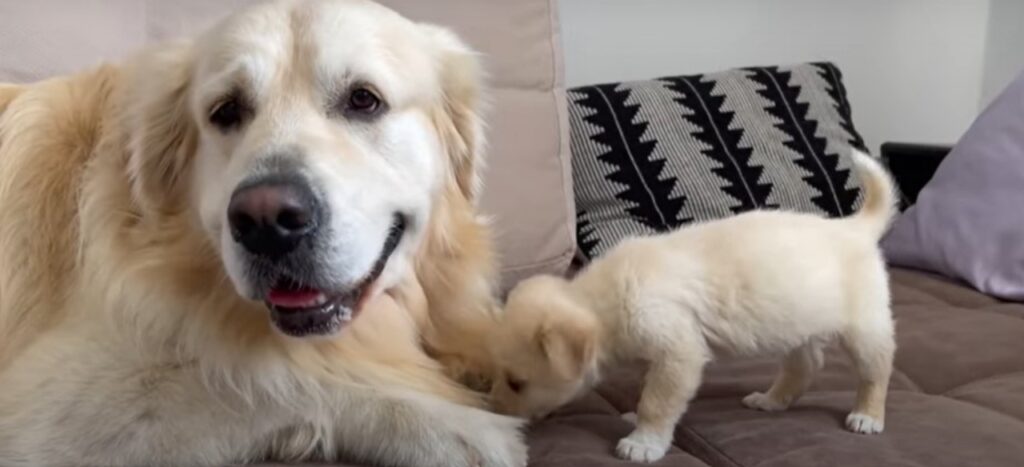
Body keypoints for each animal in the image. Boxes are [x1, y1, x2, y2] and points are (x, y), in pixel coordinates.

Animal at [487, 150, 897, 462]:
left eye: (517, 383)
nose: (494, 413)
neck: (603, 297)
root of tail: (855, 227)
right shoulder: (661, 356)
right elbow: (648, 393)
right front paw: (635, 420)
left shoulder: (678, 353)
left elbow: (656, 402)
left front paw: (643, 443)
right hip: (798, 325)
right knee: (806, 366)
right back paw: (771, 400)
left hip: (864, 329)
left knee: (876, 371)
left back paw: (867, 416)